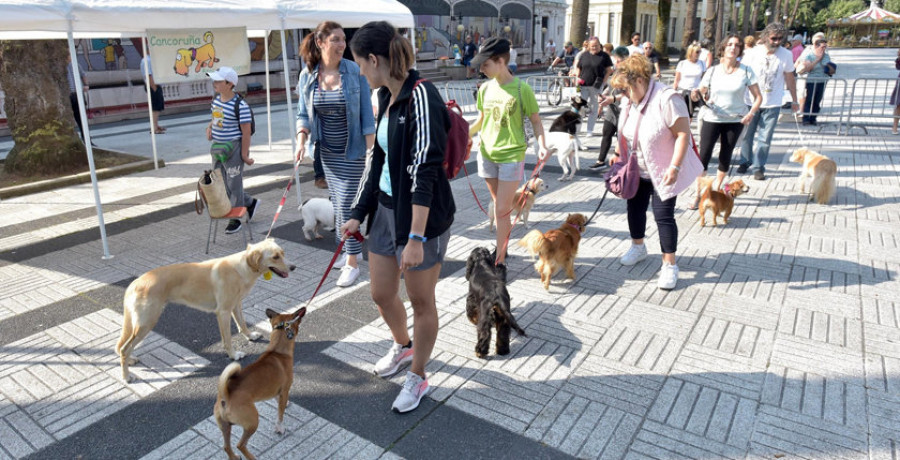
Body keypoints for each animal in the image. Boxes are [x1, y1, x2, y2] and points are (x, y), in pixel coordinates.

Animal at [116, 239, 296, 382]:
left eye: (283, 253)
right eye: (275, 257)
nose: (294, 267)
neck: (242, 268)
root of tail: (134, 283)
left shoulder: (236, 305)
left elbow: (243, 324)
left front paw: (250, 336)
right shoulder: (223, 312)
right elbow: (228, 339)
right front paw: (233, 356)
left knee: (123, 346)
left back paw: (130, 361)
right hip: (146, 323)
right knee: (125, 348)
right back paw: (126, 376)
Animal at [214, 306, 306, 460]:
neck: (277, 351)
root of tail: (225, 396)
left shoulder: (277, 391)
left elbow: (279, 401)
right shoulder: (285, 390)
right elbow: (280, 414)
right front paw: (279, 428)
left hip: (226, 427)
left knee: (226, 446)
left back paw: (234, 457)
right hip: (253, 422)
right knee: (240, 445)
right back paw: (251, 457)